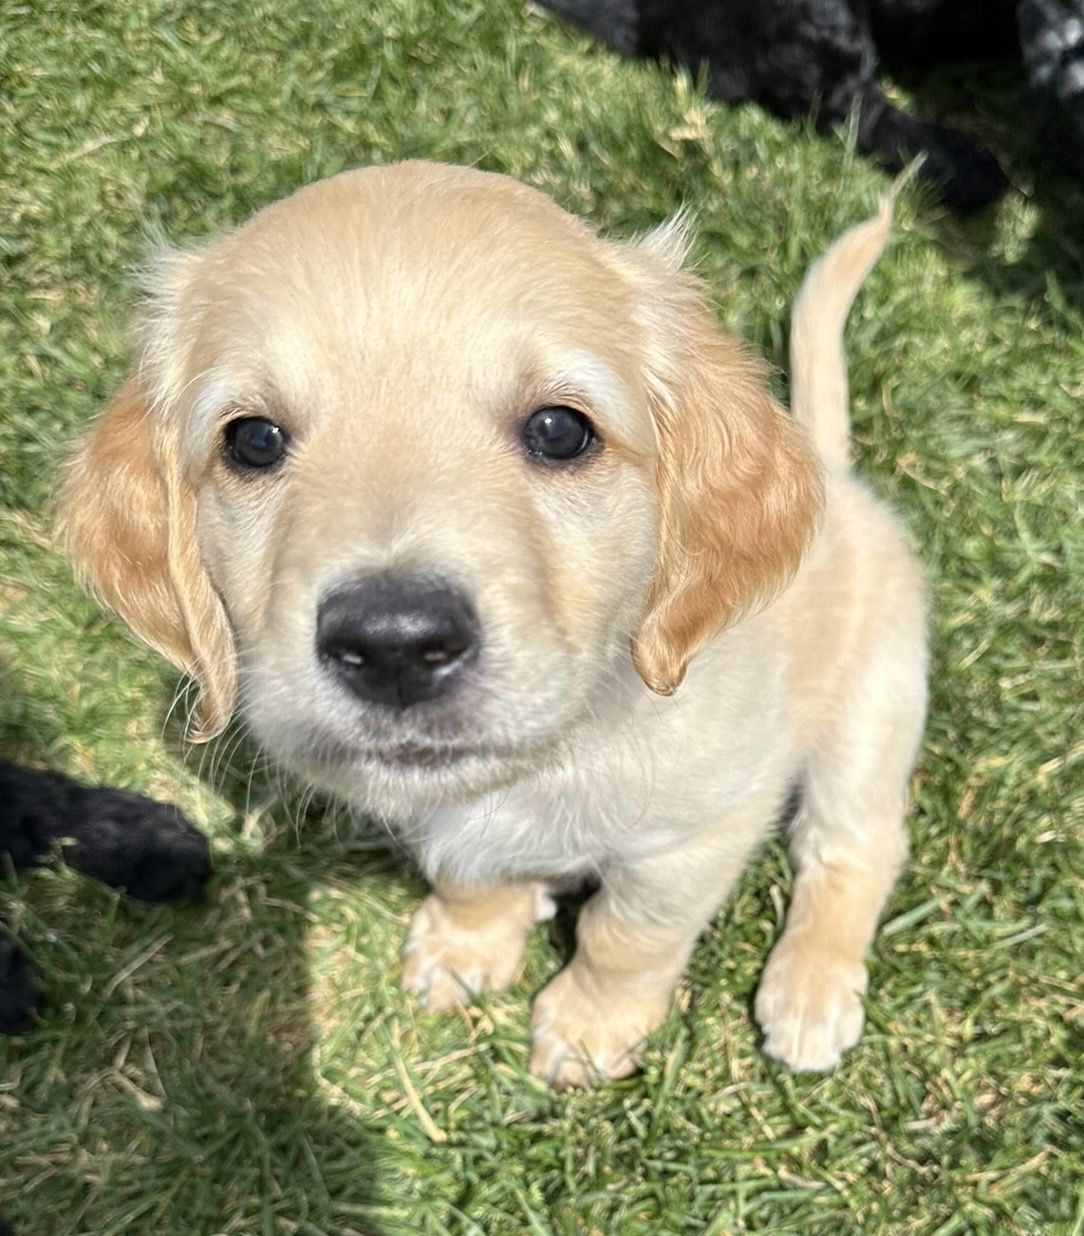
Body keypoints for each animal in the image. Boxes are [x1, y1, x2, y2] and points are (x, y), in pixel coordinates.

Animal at [62, 162, 927, 1088]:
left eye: (559, 429)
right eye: (252, 441)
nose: (395, 646)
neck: (555, 752)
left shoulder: (697, 834)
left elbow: (628, 938)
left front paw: (588, 1024)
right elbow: (469, 875)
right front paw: (467, 943)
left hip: (874, 711)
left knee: (858, 847)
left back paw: (811, 989)